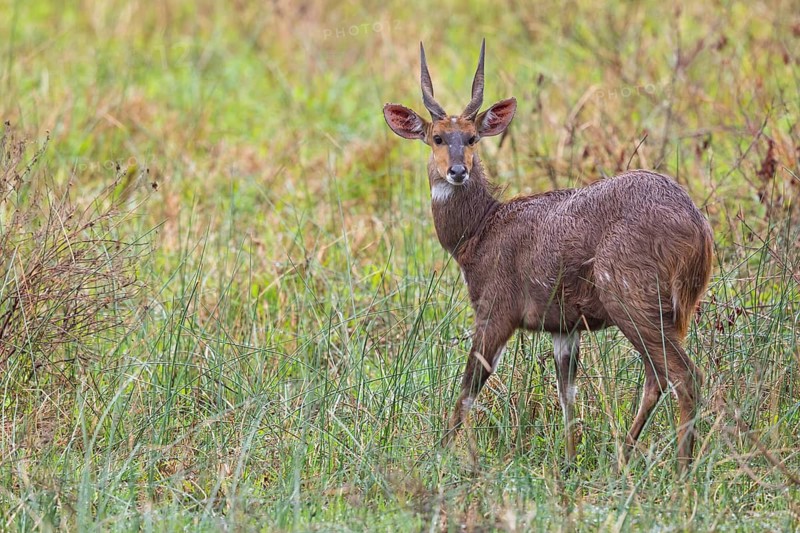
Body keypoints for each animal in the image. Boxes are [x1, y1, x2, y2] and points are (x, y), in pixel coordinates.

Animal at [382, 40, 713, 470]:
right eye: (437, 137)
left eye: (471, 139)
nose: (457, 171)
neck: (479, 234)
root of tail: (700, 230)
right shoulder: (563, 324)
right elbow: (567, 393)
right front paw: (570, 461)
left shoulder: (496, 308)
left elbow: (468, 390)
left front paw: (441, 457)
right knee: (657, 376)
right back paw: (623, 457)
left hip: (631, 295)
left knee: (684, 375)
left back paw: (681, 470)